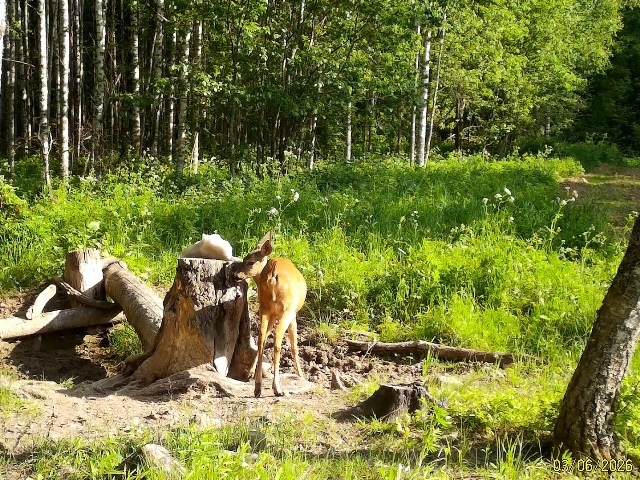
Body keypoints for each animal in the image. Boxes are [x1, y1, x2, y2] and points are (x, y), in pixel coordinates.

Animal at [231, 231, 306, 397]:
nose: (235, 275)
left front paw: (250, 373)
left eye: (250, 261)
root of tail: (272, 275)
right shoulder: (293, 314)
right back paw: (277, 388)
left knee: (260, 337)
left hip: (264, 307)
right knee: (277, 336)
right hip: (287, 308)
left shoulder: (271, 312)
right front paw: (302, 376)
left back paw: (257, 387)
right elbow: (294, 345)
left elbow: (264, 337)